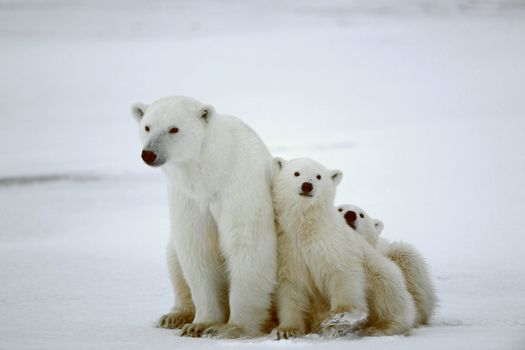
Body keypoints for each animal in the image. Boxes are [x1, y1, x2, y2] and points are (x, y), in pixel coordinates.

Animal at [130, 94, 276, 338]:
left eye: (174, 128)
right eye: (147, 127)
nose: (149, 154)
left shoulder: (240, 187)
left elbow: (248, 244)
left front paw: (231, 327)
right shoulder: (189, 198)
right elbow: (197, 249)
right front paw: (199, 324)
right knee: (174, 258)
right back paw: (174, 316)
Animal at [270, 157, 414, 338]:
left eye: (318, 176)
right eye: (296, 173)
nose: (307, 186)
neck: (307, 227)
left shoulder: (333, 243)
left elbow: (343, 273)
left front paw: (340, 317)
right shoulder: (288, 250)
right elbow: (291, 288)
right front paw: (286, 330)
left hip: (381, 270)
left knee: (387, 291)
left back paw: (379, 327)